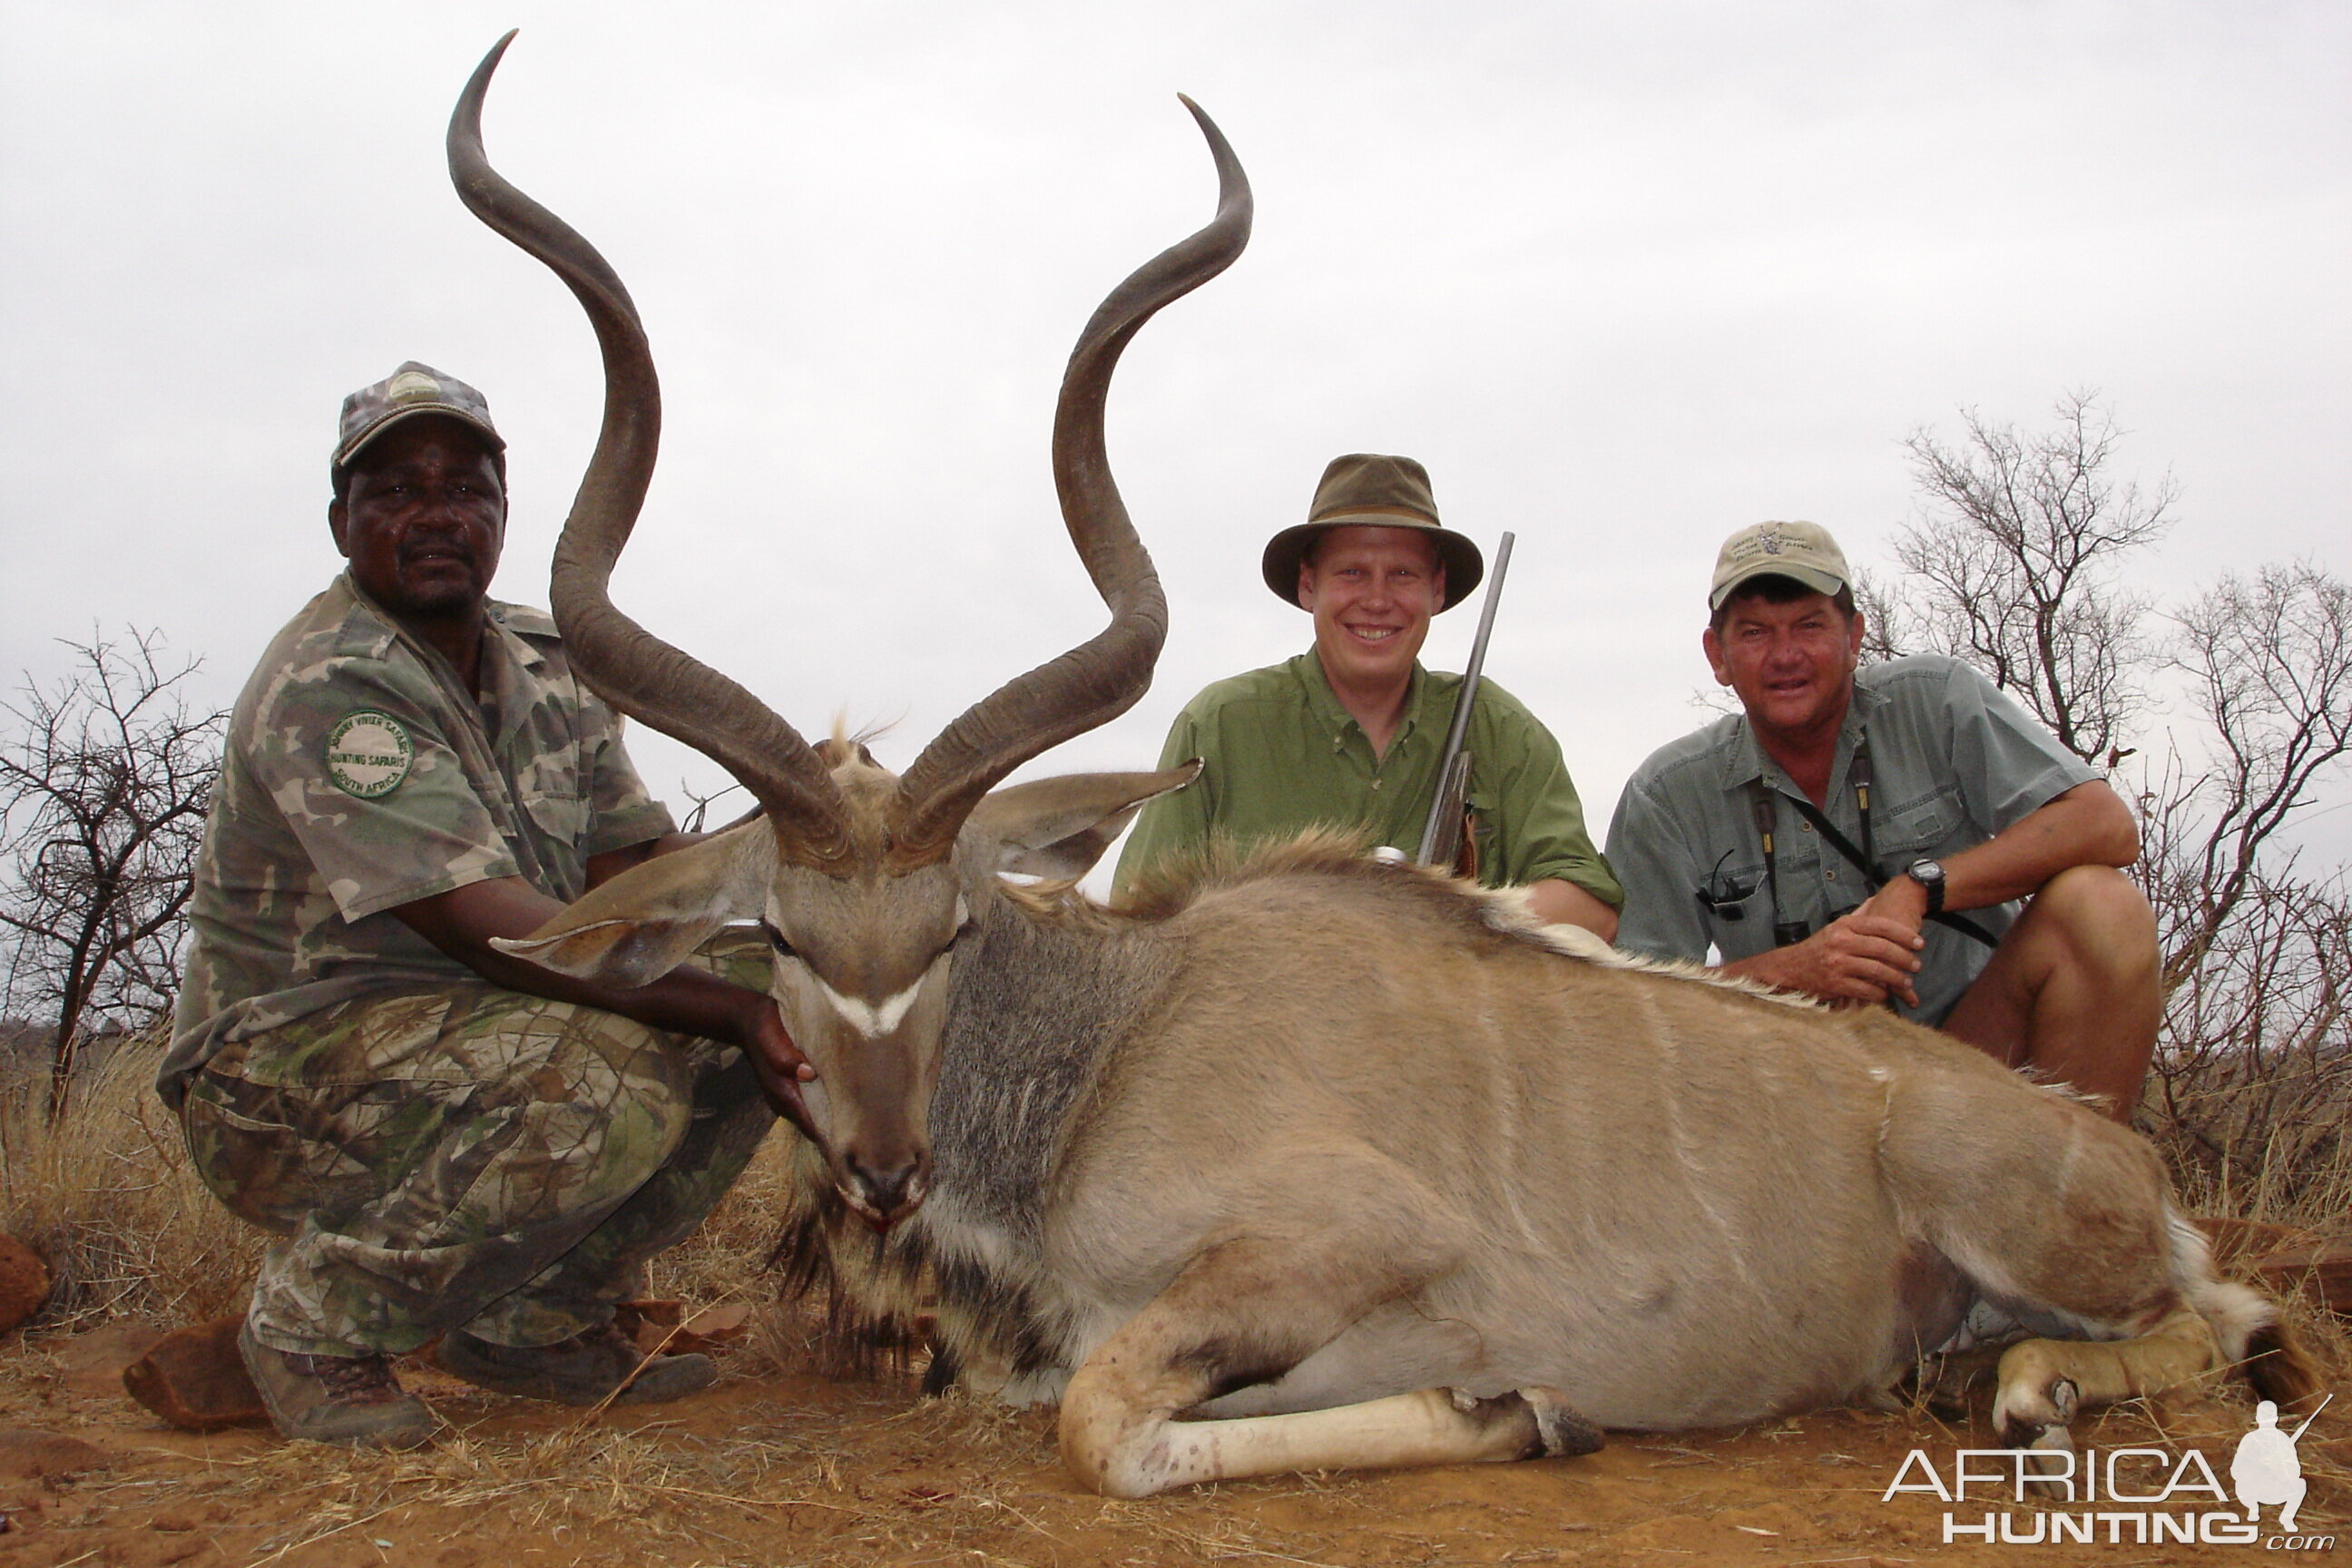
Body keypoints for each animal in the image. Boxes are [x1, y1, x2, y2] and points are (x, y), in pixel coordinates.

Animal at [444, 36, 2314, 1504]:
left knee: (2233, 1325)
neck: (1114, 1042)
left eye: (954, 927)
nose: (885, 1171)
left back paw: (2030, 1387)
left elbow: (1104, 1419)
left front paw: (1512, 1406)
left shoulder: (1344, 1243)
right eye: (778, 937)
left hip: (2033, 1224)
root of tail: (2116, 1156)